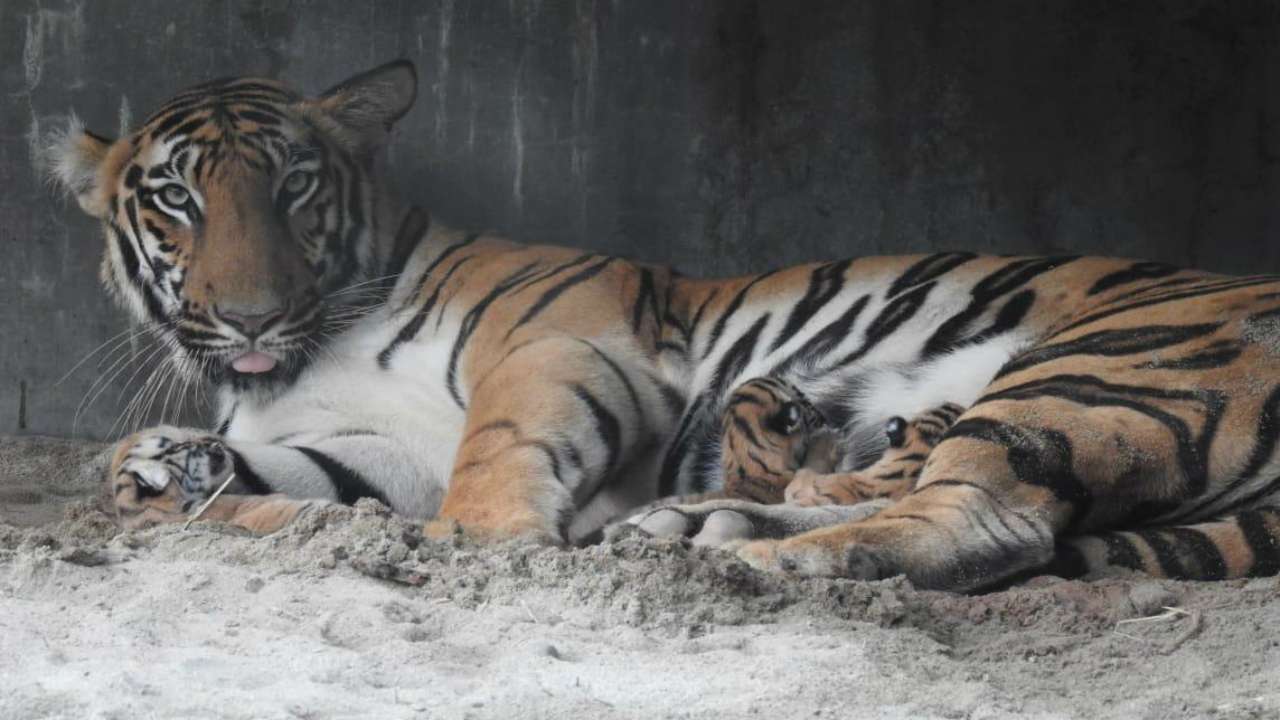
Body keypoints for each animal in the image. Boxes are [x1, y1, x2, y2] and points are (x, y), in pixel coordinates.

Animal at [49, 60, 1280, 589]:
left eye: (293, 187)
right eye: (177, 199)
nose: (251, 314)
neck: (301, 360)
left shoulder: (562, 344)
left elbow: (489, 466)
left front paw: (469, 541)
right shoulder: (377, 442)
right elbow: (300, 487)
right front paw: (171, 473)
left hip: (1103, 361)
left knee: (990, 521)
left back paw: (737, 542)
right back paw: (720, 512)